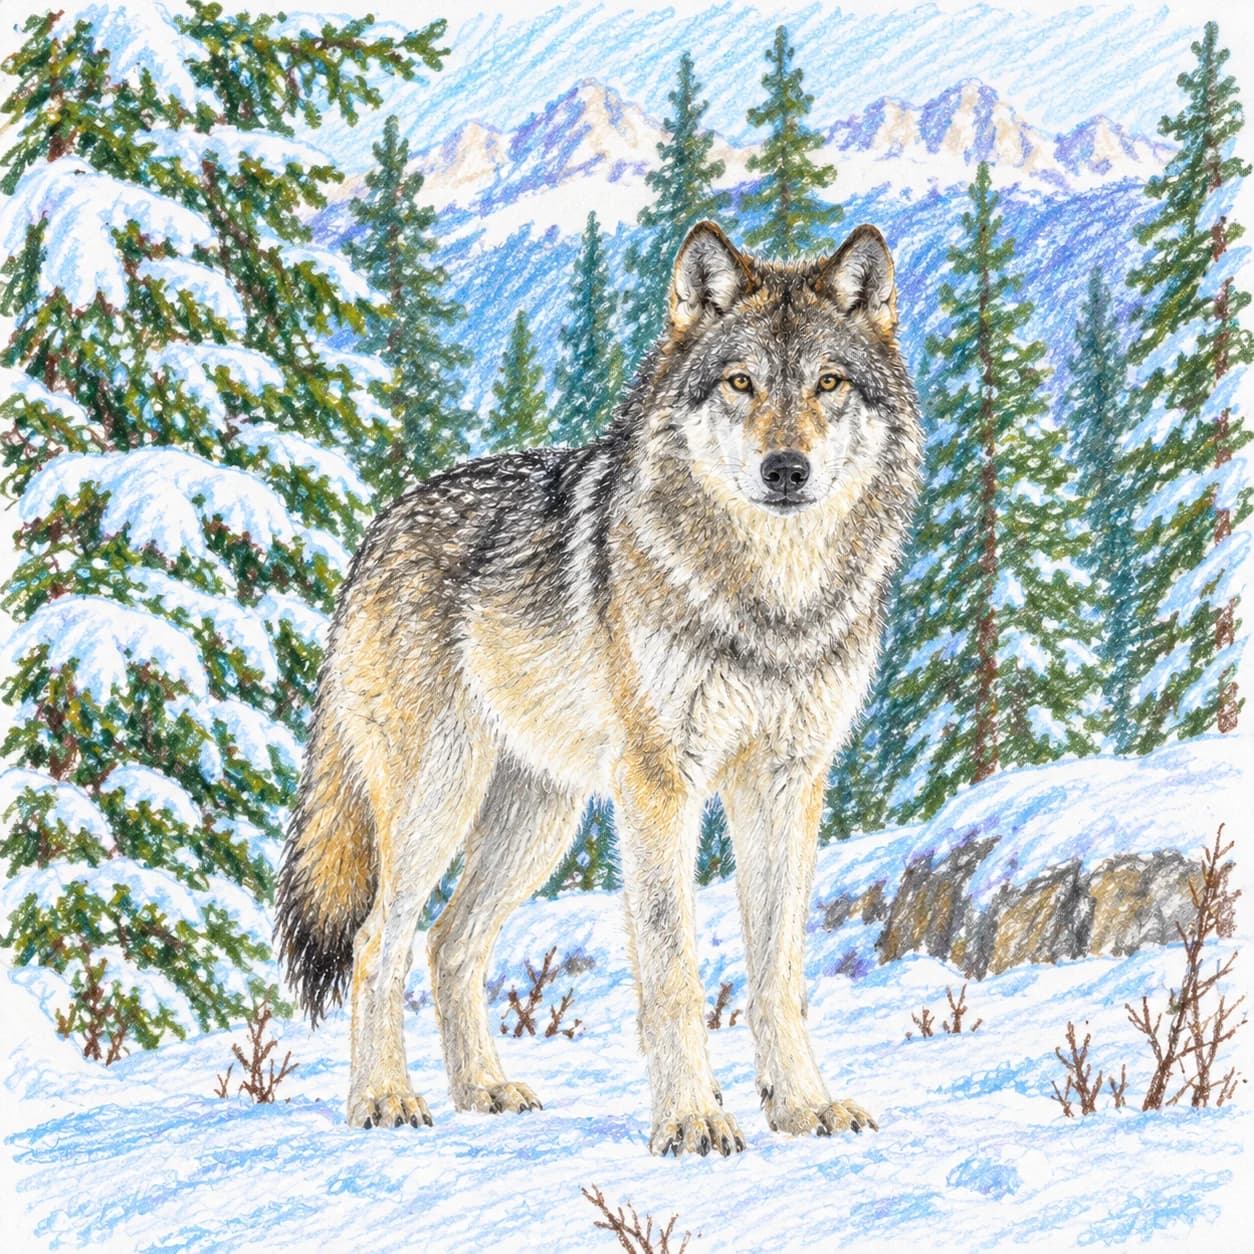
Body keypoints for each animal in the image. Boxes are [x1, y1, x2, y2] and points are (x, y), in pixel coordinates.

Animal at [276, 220, 921, 1157]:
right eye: (741, 382)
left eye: (828, 384)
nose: (785, 469)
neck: (771, 604)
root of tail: (377, 527)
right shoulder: (659, 785)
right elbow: (672, 970)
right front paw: (692, 1118)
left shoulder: (785, 782)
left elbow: (779, 973)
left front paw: (803, 1107)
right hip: (439, 800)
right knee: (375, 945)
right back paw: (384, 1099)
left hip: (539, 821)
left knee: (449, 943)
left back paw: (484, 1090)